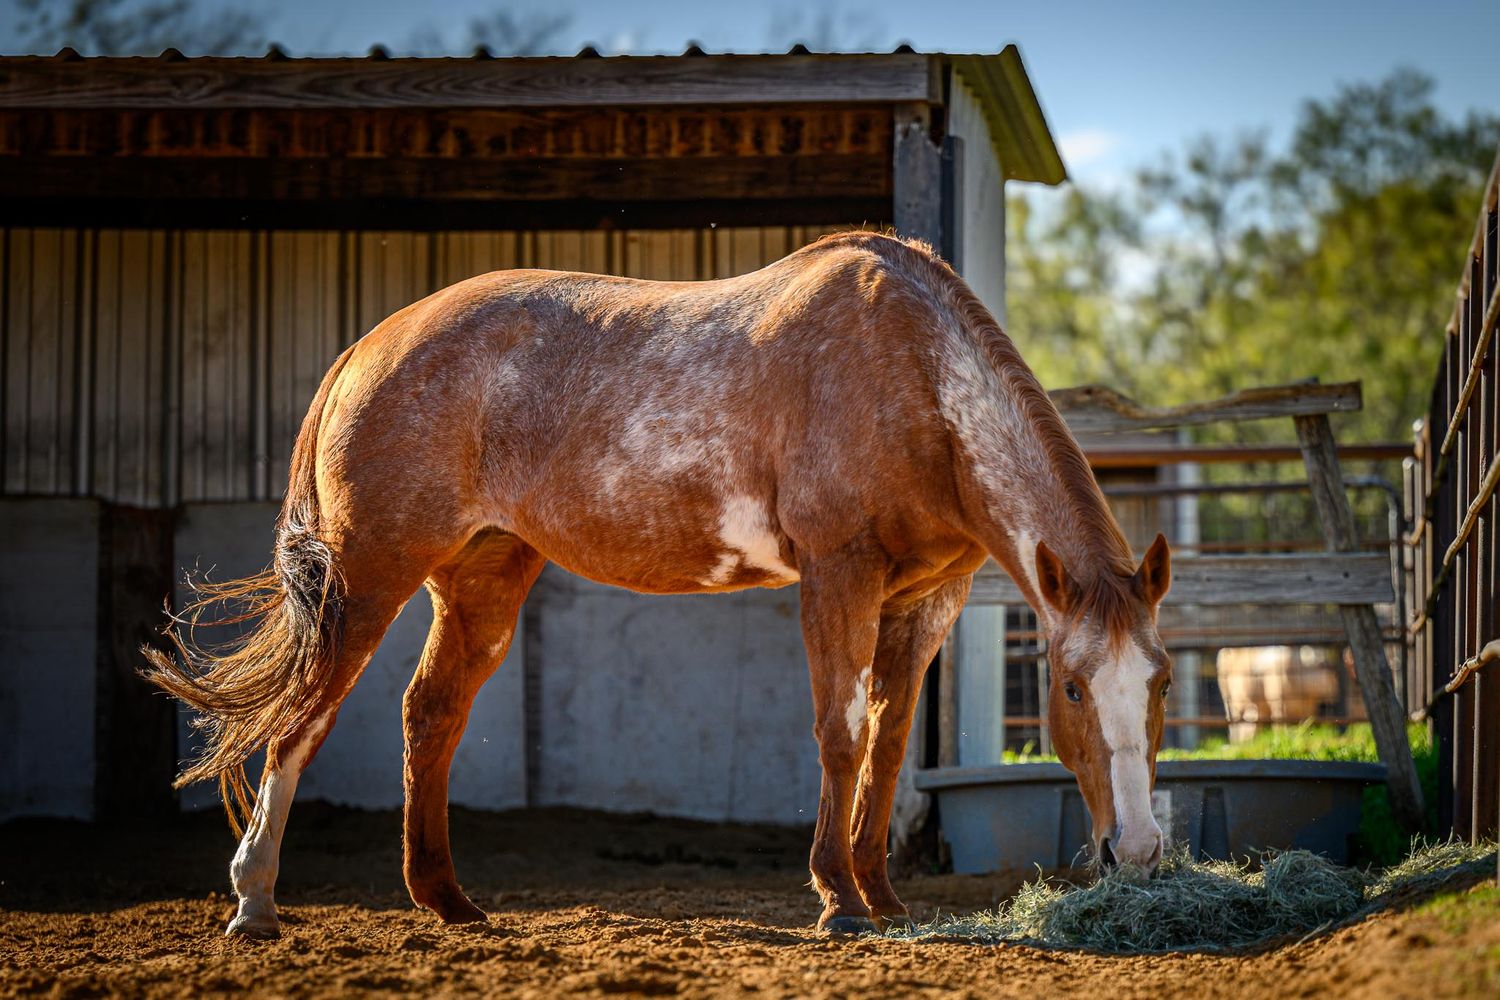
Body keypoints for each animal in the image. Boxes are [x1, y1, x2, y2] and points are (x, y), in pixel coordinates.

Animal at [144, 230, 1172, 939]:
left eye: (1159, 685)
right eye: (1070, 689)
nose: (1136, 851)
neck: (912, 376)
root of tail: (367, 348)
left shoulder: (925, 600)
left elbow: (885, 748)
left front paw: (882, 897)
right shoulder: (837, 575)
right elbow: (839, 733)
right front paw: (838, 899)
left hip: (481, 577)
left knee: (428, 712)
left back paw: (449, 902)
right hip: (367, 579)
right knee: (300, 722)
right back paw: (254, 904)